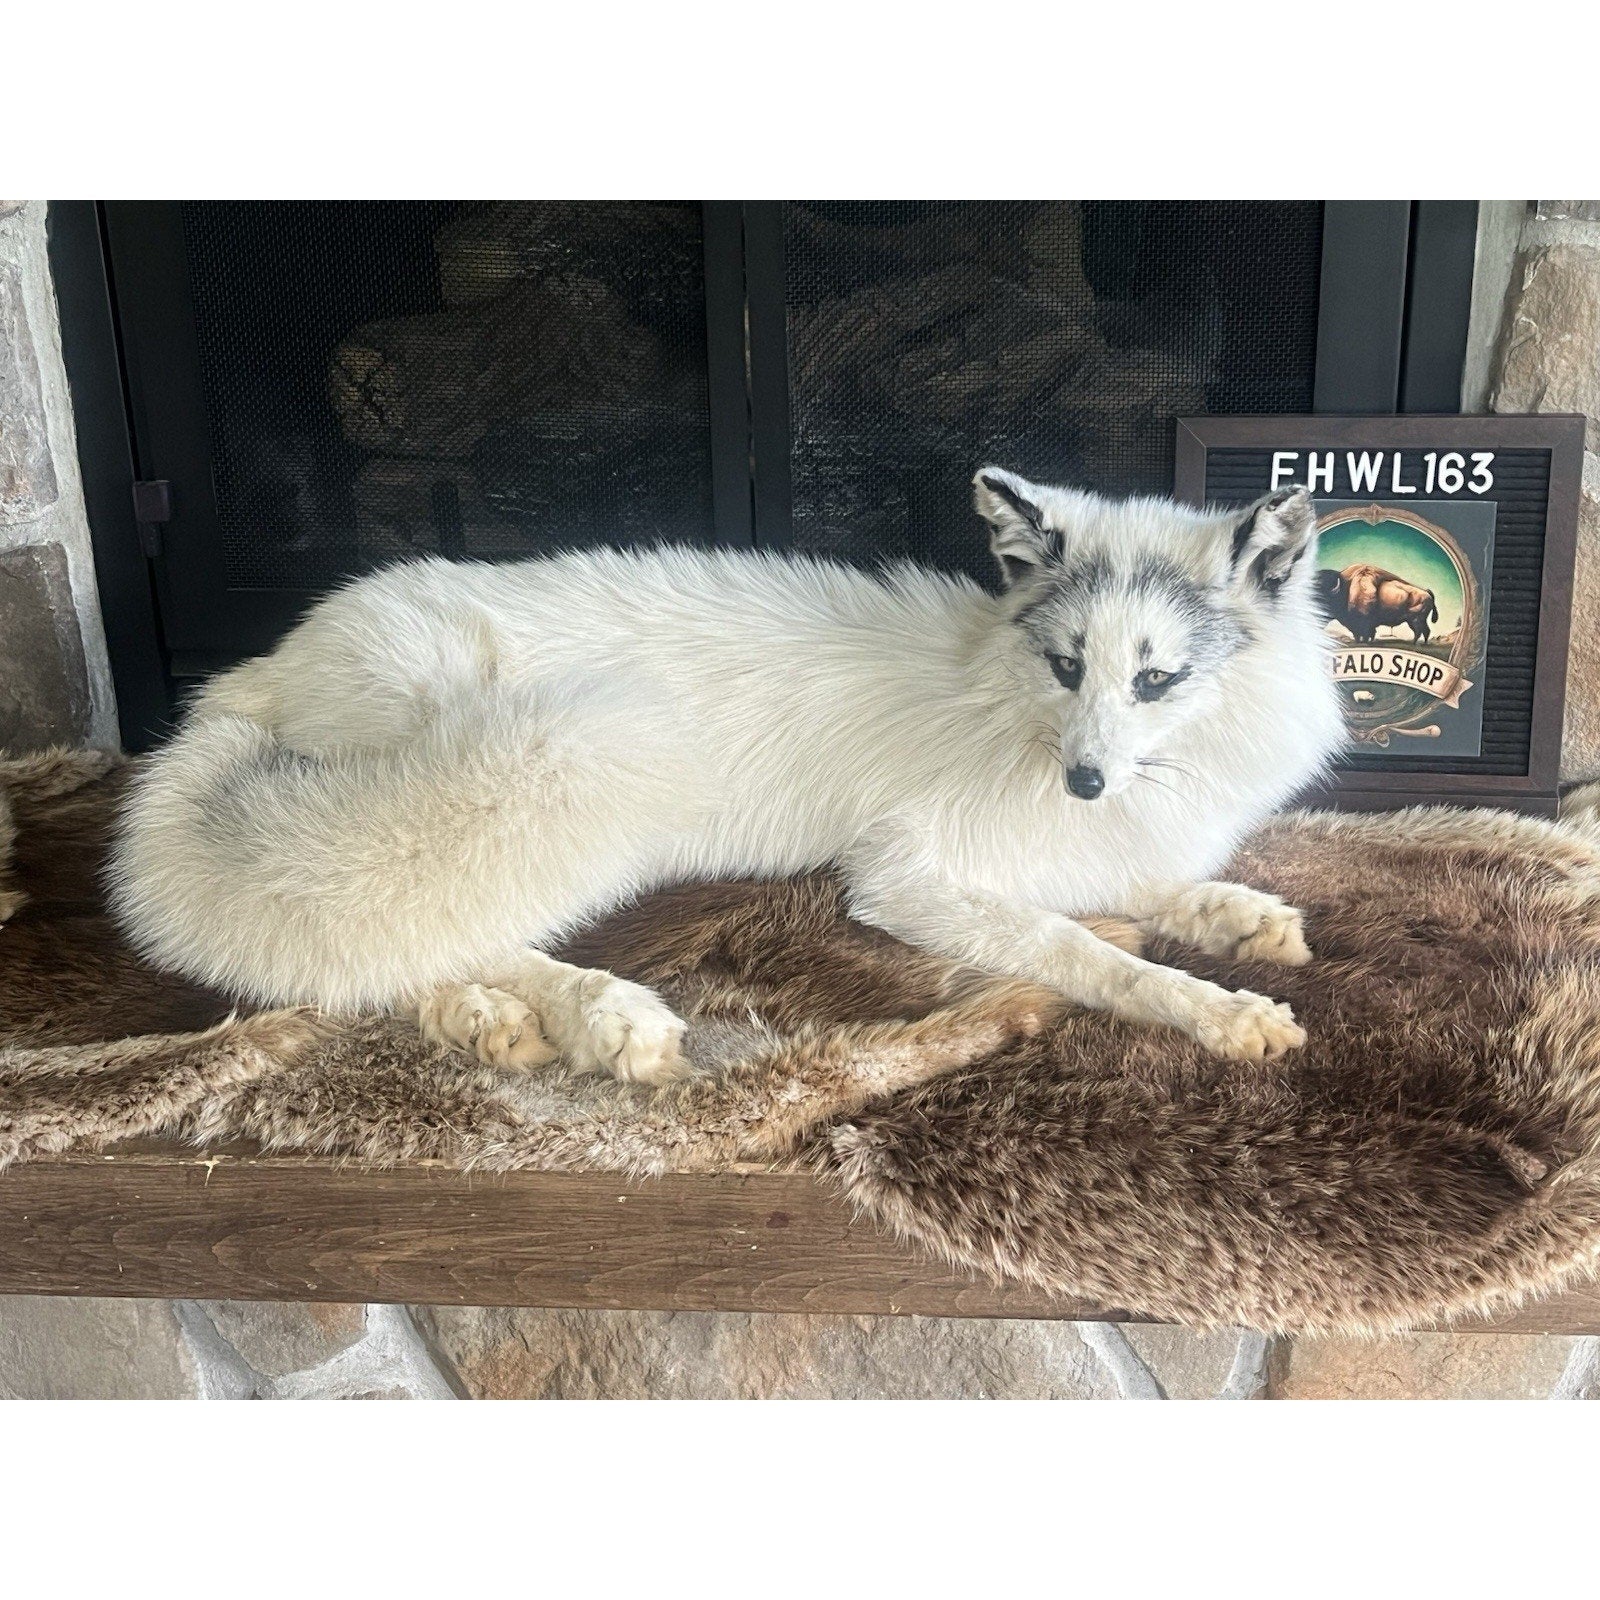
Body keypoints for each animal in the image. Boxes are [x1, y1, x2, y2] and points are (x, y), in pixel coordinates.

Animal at [109, 469, 1345, 1083]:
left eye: (1156, 678)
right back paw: (594, 1013)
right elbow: (1088, 953)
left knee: (383, 947)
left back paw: (486, 1021)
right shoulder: (903, 877)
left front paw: (1238, 918)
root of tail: (269, 661)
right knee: (418, 929)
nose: (1085, 781)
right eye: (1069, 664)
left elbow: (1153, 890)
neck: (999, 694)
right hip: (576, 784)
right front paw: (1215, 1008)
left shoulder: (1100, 842)